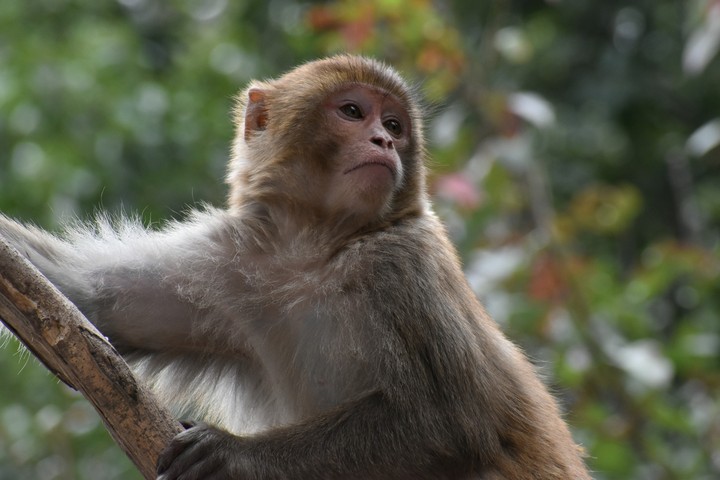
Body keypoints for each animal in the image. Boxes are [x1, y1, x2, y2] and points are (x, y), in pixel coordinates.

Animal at [0, 55, 591, 479]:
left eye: (394, 124)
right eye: (352, 112)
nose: (383, 140)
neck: (314, 250)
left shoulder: (404, 263)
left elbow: (455, 422)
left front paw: (233, 455)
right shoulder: (225, 265)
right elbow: (82, 306)